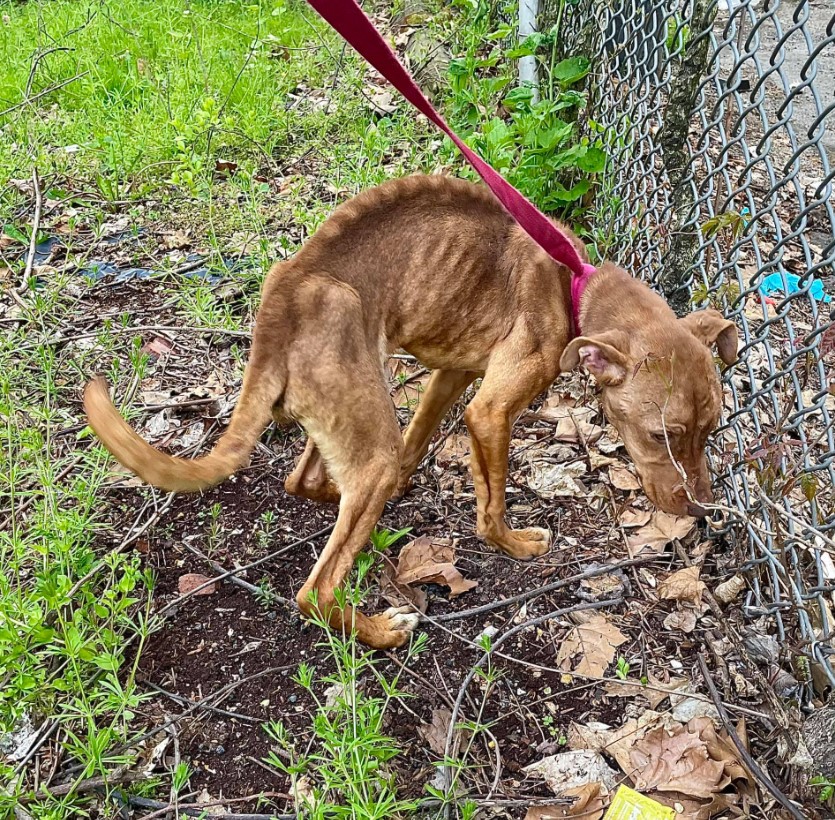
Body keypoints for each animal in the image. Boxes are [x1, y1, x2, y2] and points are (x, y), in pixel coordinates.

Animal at [83, 176, 740, 652]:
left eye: (710, 431)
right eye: (662, 435)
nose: (703, 511)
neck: (572, 282)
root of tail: (280, 309)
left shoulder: (453, 379)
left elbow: (422, 437)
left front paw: (416, 480)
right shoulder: (490, 410)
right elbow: (492, 502)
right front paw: (513, 543)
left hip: (359, 406)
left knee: (312, 482)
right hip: (366, 426)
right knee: (315, 590)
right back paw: (381, 631)